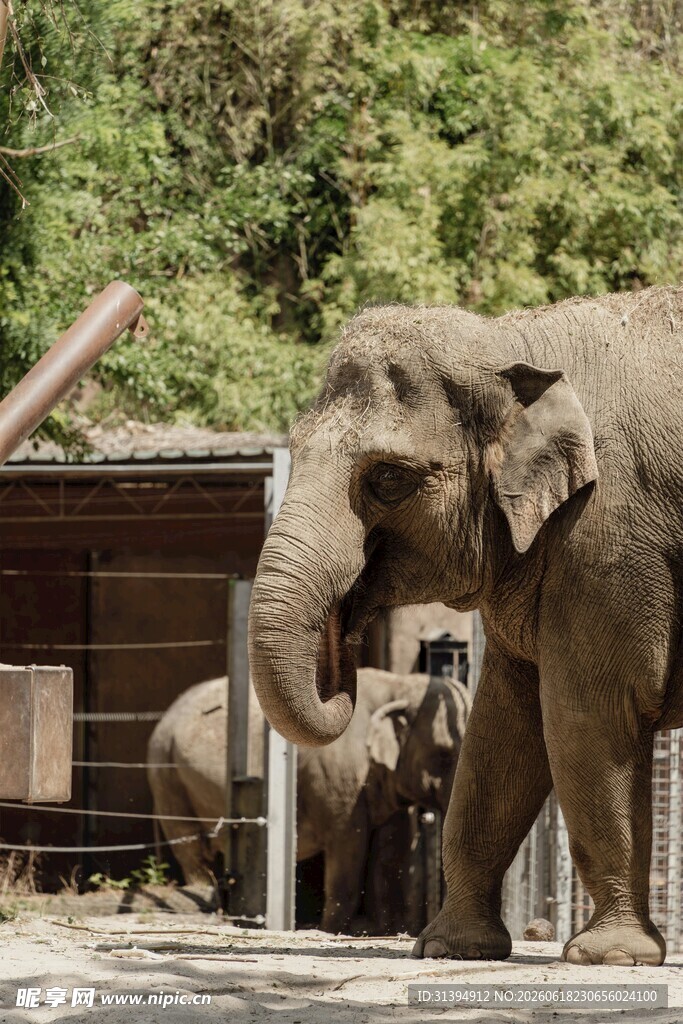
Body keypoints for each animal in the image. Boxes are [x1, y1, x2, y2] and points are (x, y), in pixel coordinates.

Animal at [147, 668, 470, 932]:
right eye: (444, 754)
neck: (399, 684)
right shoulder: (338, 779)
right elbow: (349, 847)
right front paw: (332, 930)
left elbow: (390, 850)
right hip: (167, 774)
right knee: (191, 850)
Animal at [248, 286, 683, 966]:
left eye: (389, 478)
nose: (344, 648)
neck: (512, 340)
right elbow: (503, 727)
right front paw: (452, 948)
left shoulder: (610, 538)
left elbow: (588, 715)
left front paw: (609, 956)